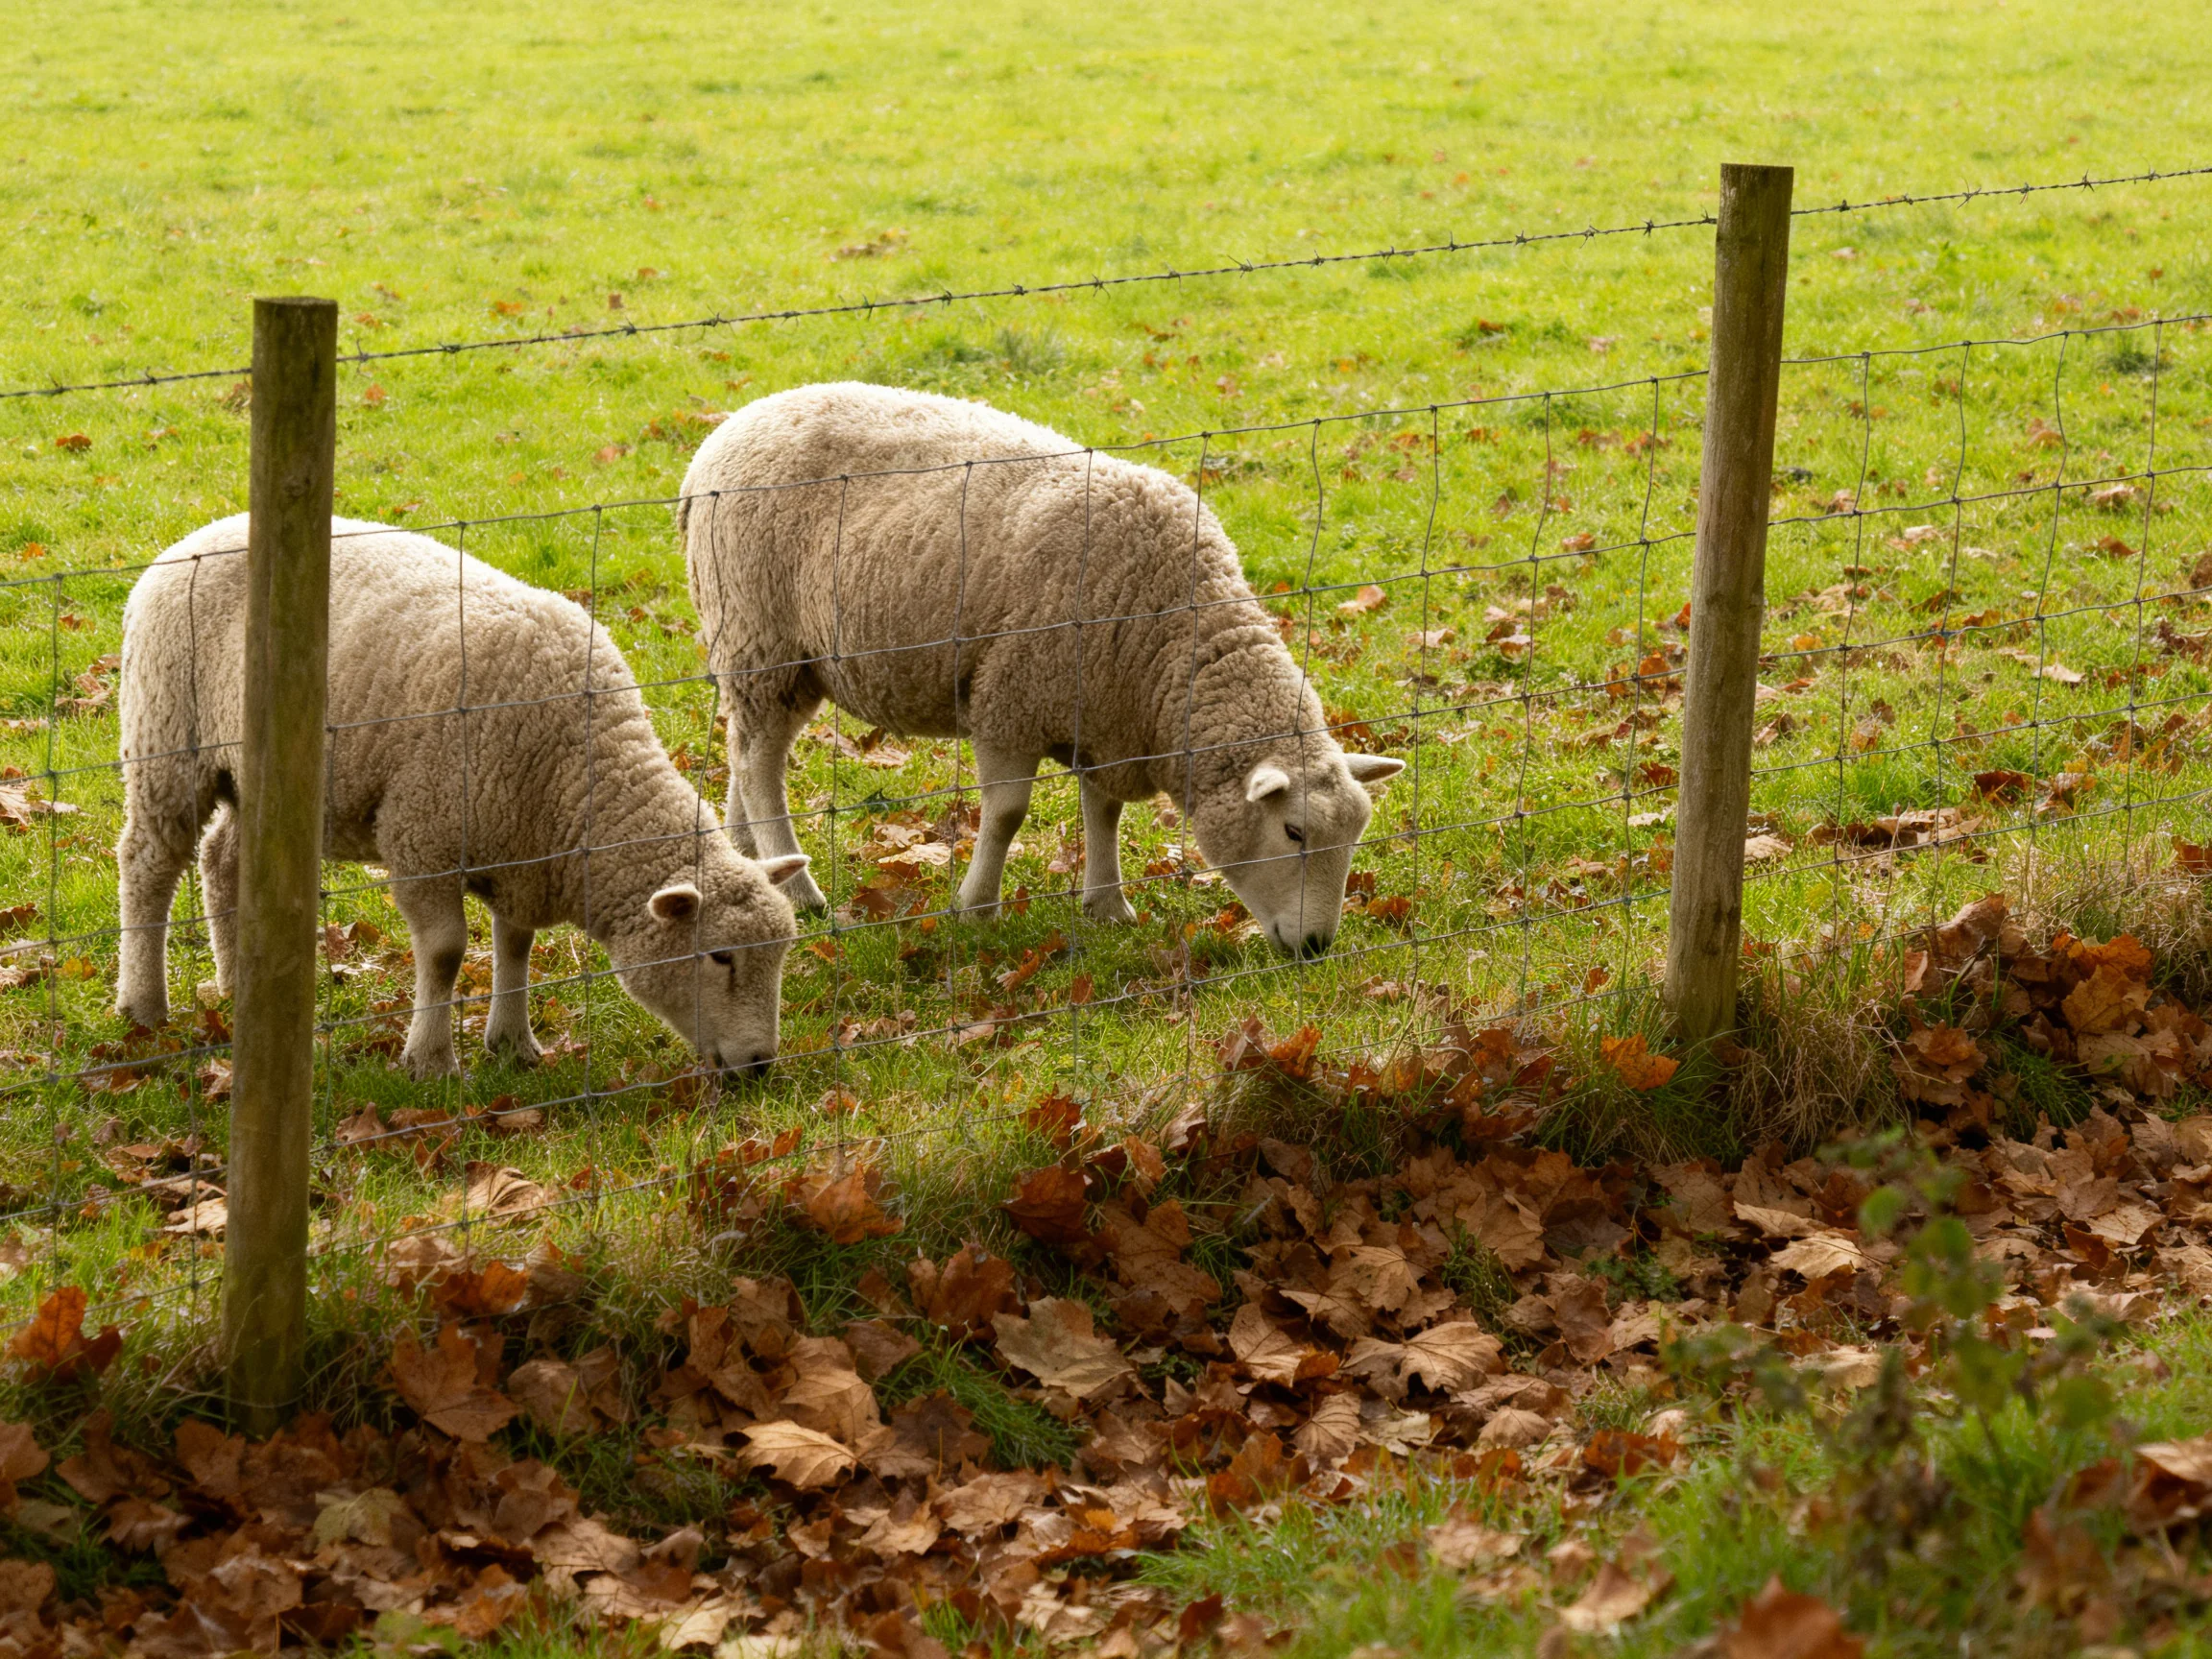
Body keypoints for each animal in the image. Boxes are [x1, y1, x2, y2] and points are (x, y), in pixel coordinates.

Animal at [114, 515, 811, 1080]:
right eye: (719, 956)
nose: (759, 1064)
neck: (581, 779)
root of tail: (197, 536)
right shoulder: (421, 838)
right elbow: (447, 953)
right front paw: (431, 1060)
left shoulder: (522, 852)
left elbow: (515, 944)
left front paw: (513, 1043)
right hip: (168, 741)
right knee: (149, 864)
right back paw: (144, 1005)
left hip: (248, 775)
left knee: (221, 860)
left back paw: (236, 984)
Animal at [678, 383, 1403, 958]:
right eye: (1293, 832)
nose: (1317, 946)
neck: (1173, 645)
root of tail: (722, 435)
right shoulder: (1009, 702)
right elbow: (1006, 815)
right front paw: (977, 907)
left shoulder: (1106, 720)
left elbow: (1104, 813)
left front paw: (1107, 906)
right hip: (760, 638)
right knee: (762, 765)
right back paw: (803, 892)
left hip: (779, 660)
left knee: (748, 755)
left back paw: (754, 861)